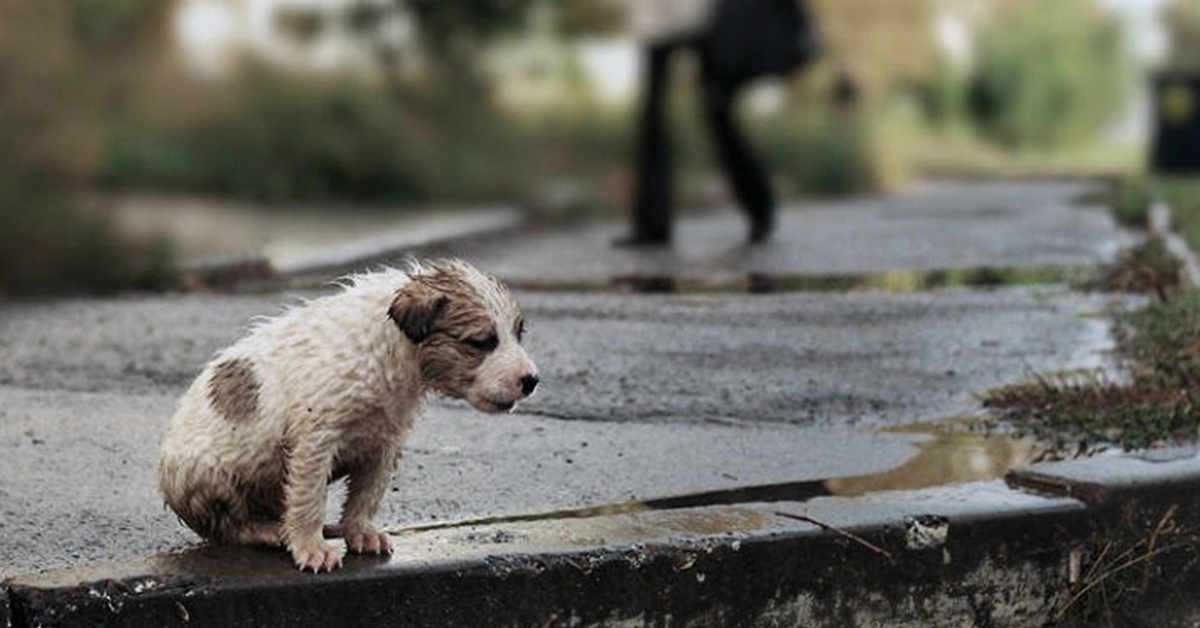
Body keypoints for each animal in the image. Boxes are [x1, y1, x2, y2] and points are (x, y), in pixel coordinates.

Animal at [158, 258, 540, 571]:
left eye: (518, 334)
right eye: (481, 342)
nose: (532, 381)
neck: (391, 349)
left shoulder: (384, 442)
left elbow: (366, 495)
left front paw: (359, 531)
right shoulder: (315, 438)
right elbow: (309, 498)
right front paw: (310, 546)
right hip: (210, 476)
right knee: (228, 526)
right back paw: (268, 530)